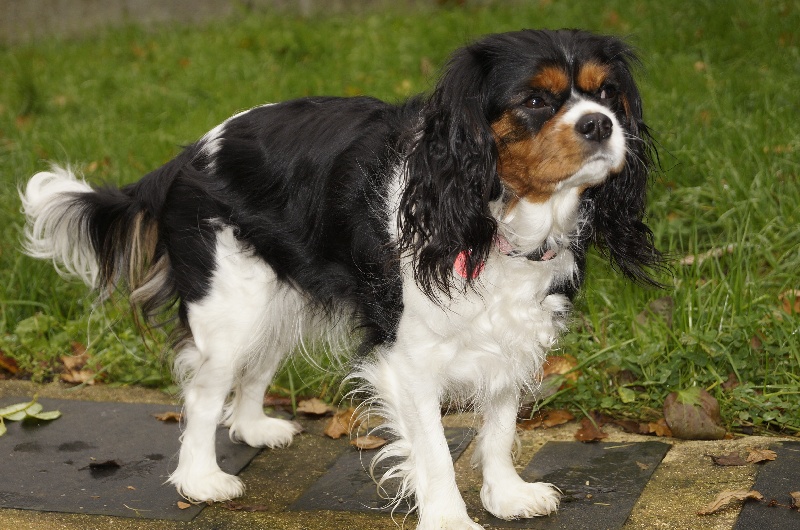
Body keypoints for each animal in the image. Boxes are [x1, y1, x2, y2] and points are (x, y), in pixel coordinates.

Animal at [20, 29, 664, 528]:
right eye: (534, 99)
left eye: (607, 93)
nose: (600, 125)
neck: (496, 214)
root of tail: (183, 158)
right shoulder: (407, 360)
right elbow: (432, 450)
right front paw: (450, 517)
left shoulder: (512, 335)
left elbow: (500, 421)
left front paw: (506, 495)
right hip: (232, 307)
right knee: (205, 391)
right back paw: (201, 480)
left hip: (280, 302)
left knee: (253, 372)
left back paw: (254, 428)